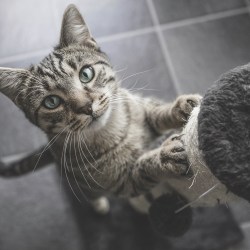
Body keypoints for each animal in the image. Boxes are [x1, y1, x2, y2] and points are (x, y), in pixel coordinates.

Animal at [0, 4, 199, 214]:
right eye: (51, 102)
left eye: (86, 74)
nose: (86, 107)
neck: (115, 130)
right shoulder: (126, 183)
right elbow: (143, 167)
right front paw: (165, 156)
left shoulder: (140, 107)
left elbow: (157, 113)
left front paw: (182, 107)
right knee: (90, 195)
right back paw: (98, 204)